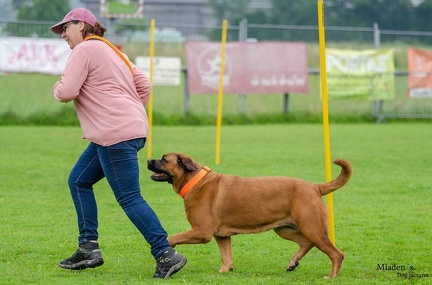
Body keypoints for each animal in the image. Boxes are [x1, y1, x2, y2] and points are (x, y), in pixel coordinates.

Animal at [147, 153, 352, 278]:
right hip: (285, 229)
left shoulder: (201, 232)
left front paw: (167, 252)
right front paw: (225, 271)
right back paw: (293, 262)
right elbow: (227, 256)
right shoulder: (222, 236)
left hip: (312, 228)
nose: (148, 161)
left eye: (164, 159)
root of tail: (315, 187)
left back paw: (331, 276)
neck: (195, 181)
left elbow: (173, 237)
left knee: (336, 254)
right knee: (306, 243)